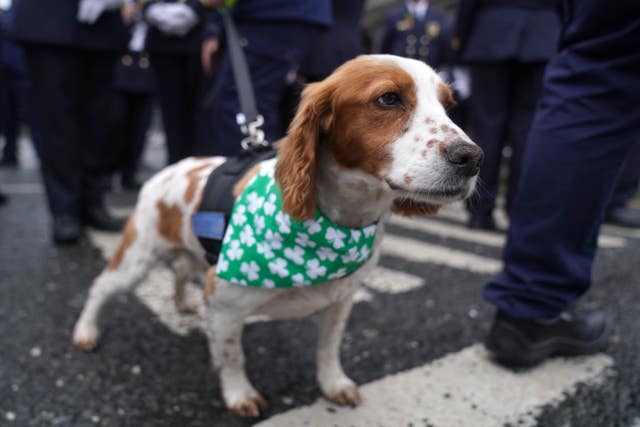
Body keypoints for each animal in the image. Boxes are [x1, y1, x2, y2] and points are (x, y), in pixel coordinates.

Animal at [72, 54, 482, 418]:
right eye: (389, 98)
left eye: (449, 105)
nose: (473, 158)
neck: (336, 225)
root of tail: (170, 168)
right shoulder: (225, 305)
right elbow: (232, 355)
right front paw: (240, 394)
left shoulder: (341, 300)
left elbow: (328, 348)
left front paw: (333, 384)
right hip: (137, 256)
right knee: (101, 286)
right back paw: (86, 331)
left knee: (179, 270)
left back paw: (182, 303)